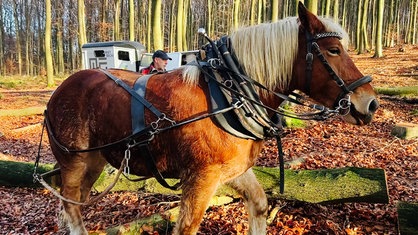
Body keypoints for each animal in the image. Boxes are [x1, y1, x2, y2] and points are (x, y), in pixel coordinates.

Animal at [42, 2, 378, 235]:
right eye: (333, 50)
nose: (371, 103)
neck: (229, 95)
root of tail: (59, 91)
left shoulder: (232, 170)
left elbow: (259, 204)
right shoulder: (201, 177)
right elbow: (187, 227)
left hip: (94, 161)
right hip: (74, 161)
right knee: (70, 204)